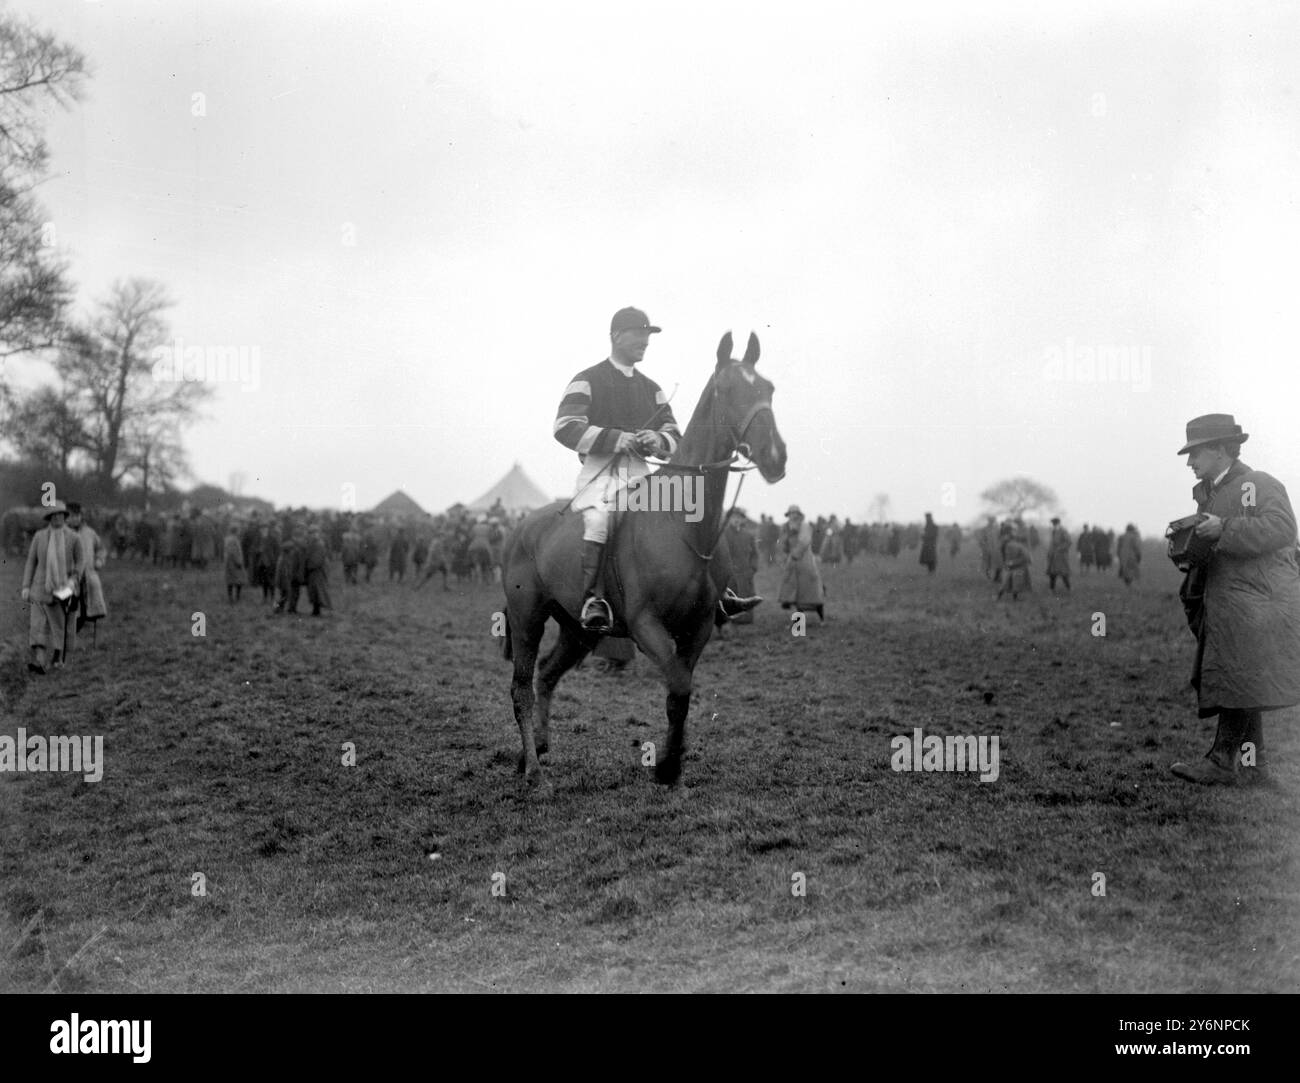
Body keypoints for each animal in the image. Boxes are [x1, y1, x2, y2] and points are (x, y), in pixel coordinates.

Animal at [496, 330, 780, 785]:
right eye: (728, 389)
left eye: (768, 389)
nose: (775, 456)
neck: (683, 524)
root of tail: (519, 530)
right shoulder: (647, 625)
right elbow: (678, 686)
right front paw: (666, 765)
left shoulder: (698, 627)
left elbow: (680, 691)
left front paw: (672, 761)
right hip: (527, 619)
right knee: (521, 686)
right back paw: (534, 772)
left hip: (577, 630)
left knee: (547, 675)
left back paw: (536, 749)